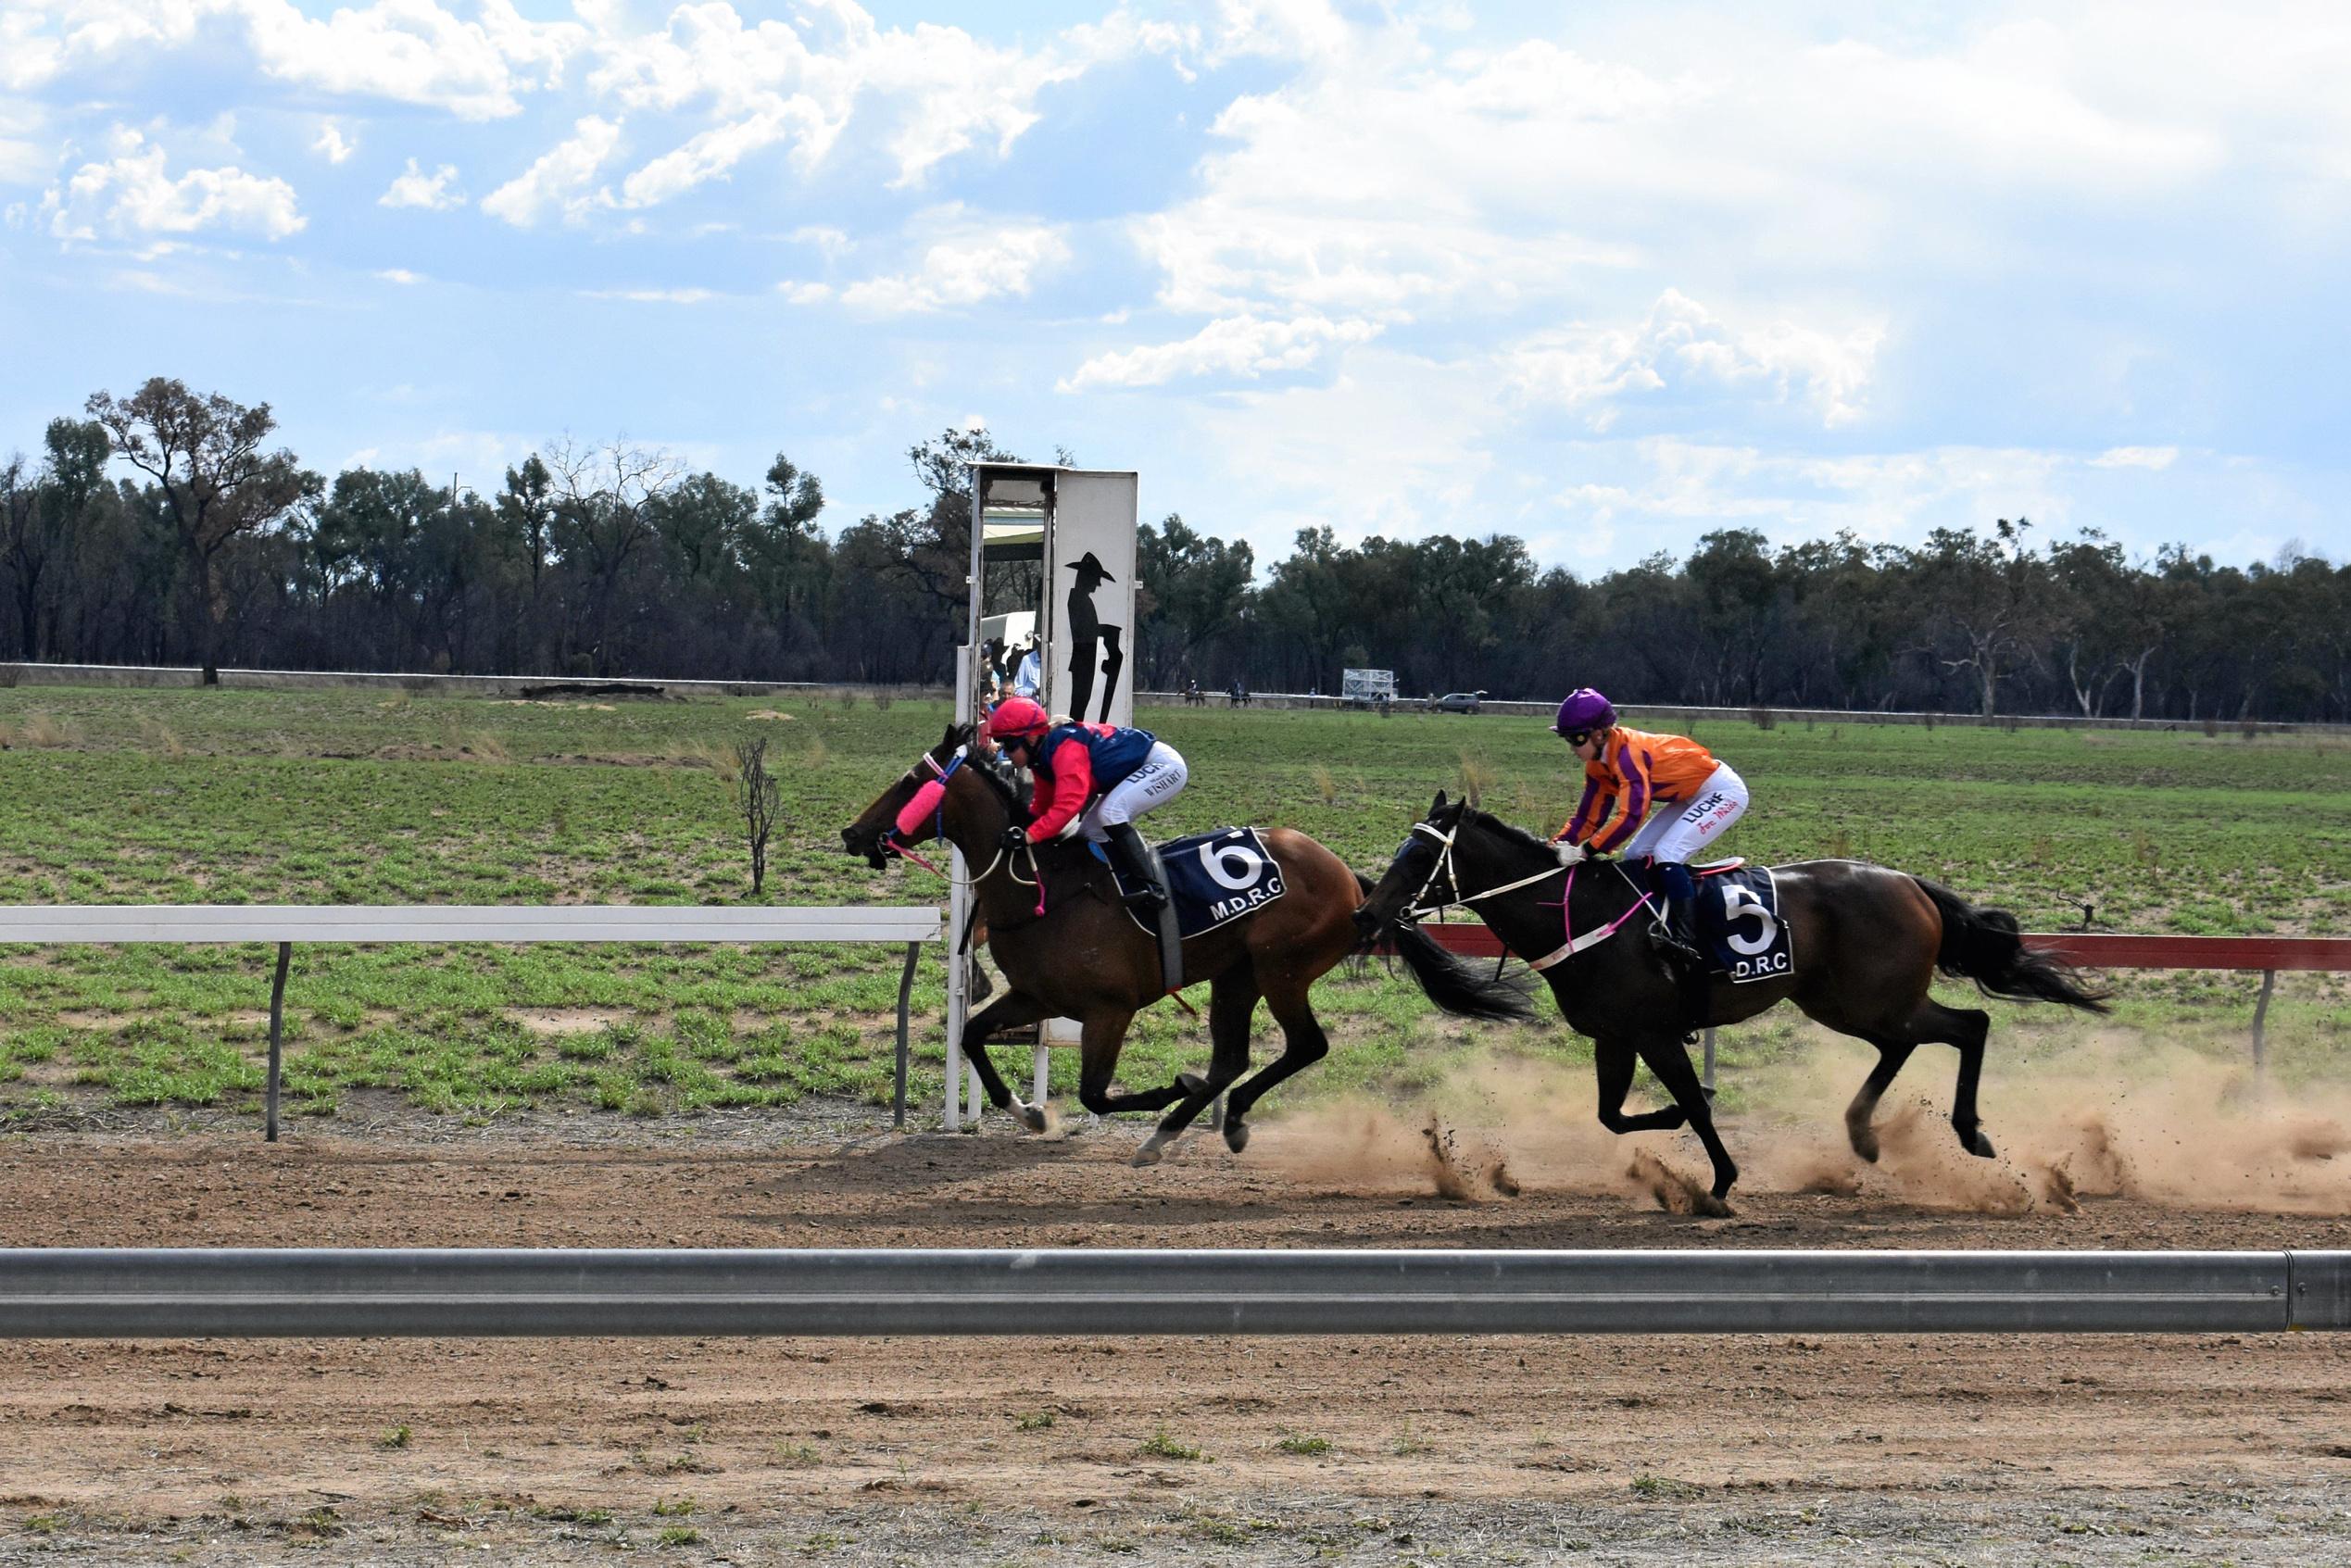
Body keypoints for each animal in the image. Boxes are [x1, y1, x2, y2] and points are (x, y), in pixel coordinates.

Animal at [836, 728, 1532, 1160]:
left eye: (909, 782)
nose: (853, 833)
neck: (1041, 885)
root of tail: (1350, 877)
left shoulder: (1109, 1008)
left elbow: (1094, 1092)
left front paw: (1169, 1085)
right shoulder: (1037, 995)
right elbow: (972, 1034)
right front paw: (1028, 1113)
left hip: (1281, 968)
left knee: (1304, 1045)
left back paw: (1215, 1117)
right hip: (1236, 973)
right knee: (1232, 1058)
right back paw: (1174, 1130)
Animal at [1353, 798, 2106, 1212]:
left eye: (1418, 856)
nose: (1366, 913)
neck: (1578, 913)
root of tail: (1912, 883)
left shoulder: (1654, 1030)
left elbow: (1690, 1101)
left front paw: (1718, 1181)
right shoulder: (1614, 1035)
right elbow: (1613, 1115)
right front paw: (1671, 1139)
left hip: (1874, 997)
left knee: (1969, 1025)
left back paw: (1970, 1133)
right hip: (1845, 1001)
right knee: (1908, 1042)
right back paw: (1864, 1135)